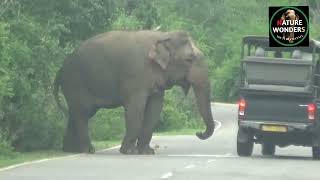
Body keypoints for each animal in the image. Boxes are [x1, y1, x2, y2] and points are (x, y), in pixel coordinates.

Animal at [53, 30, 215, 154]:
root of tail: (60, 69)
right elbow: (135, 108)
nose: (198, 133)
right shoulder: (135, 76)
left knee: (77, 113)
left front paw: (147, 152)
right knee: (81, 113)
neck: (162, 36)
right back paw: (88, 150)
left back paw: (70, 150)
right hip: (75, 82)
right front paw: (129, 152)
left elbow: (155, 109)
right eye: (189, 59)